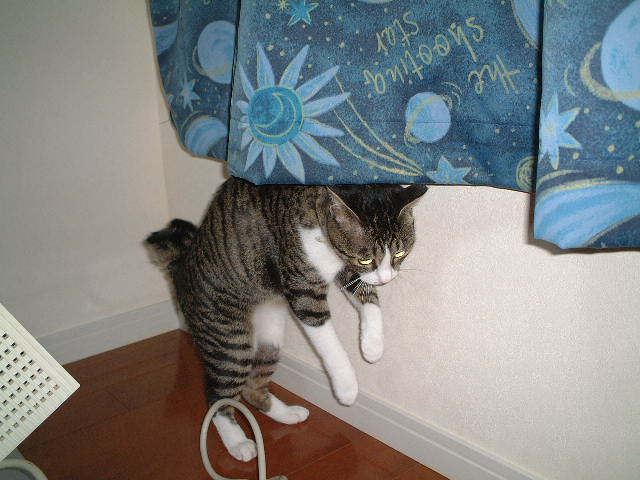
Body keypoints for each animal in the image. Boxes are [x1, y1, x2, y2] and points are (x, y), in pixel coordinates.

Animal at [146, 176, 427, 462]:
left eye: (400, 254)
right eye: (367, 258)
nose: (387, 278)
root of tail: (180, 267)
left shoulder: (346, 267)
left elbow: (369, 299)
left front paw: (372, 347)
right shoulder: (304, 288)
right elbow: (330, 344)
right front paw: (346, 388)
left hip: (269, 336)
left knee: (252, 386)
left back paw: (287, 414)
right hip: (229, 340)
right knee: (217, 396)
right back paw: (238, 442)